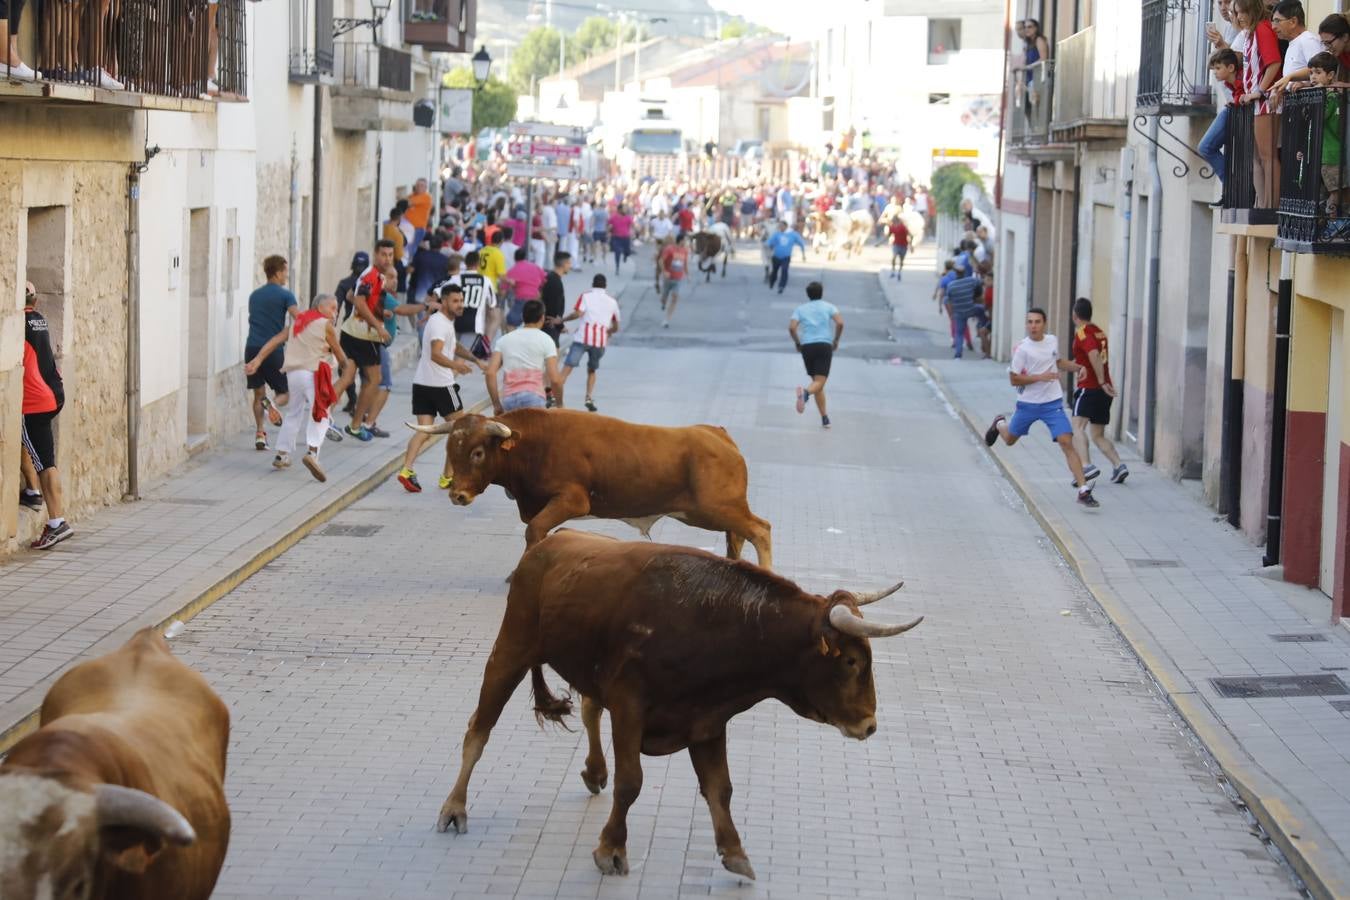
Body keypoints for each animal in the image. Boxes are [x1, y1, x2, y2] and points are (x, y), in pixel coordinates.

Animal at [407, 410, 772, 566]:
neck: (534, 442)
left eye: (478, 452)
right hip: (711, 512)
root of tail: (717, 433)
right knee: (739, 535)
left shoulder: (572, 499)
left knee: (760, 529)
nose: (458, 495)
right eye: (450, 450)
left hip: (715, 508)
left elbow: (535, 530)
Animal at [432, 534, 918, 879]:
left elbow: (720, 788)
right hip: (510, 649)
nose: (870, 724)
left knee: (588, 709)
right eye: (851, 661)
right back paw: (454, 808)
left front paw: (735, 852)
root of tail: (549, 543)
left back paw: (593, 770)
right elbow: (631, 782)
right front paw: (611, 849)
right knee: (479, 729)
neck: (721, 624)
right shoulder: (630, 705)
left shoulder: (706, 720)